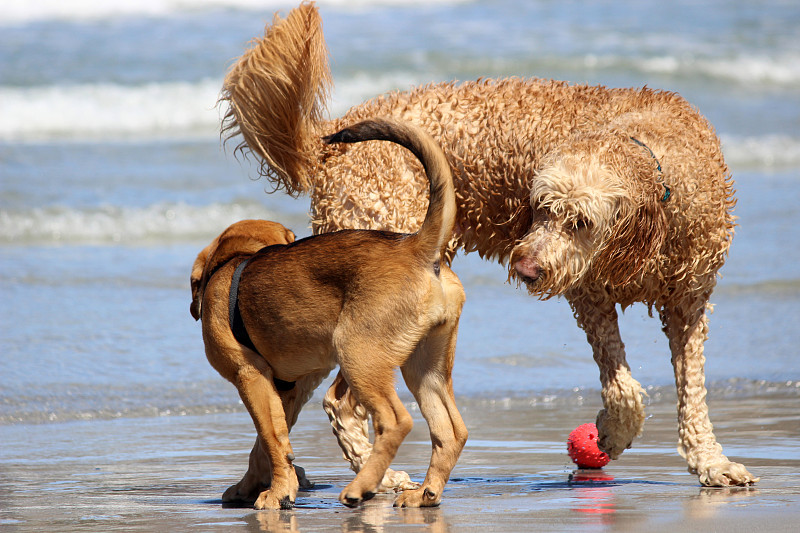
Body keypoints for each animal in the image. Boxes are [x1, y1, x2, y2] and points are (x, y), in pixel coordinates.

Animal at [192, 118, 468, 510]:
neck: (233, 263)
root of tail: (415, 245)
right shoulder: (284, 390)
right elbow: (267, 444)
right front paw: (253, 486)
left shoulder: (250, 376)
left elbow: (270, 439)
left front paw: (276, 493)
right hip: (425, 367)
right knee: (451, 430)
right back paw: (424, 493)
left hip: (358, 355)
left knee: (396, 420)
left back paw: (360, 488)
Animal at [217, 3, 756, 486]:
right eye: (540, 207)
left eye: (580, 221)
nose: (526, 267)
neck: (653, 159)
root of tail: (328, 139)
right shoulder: (591, 297)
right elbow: (623, 388)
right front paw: (611, 435)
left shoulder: (689, 305)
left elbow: (692, 392)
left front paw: (711, 462)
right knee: (340, 402)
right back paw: (376, 477)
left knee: (290, 397)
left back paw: (262, 480)